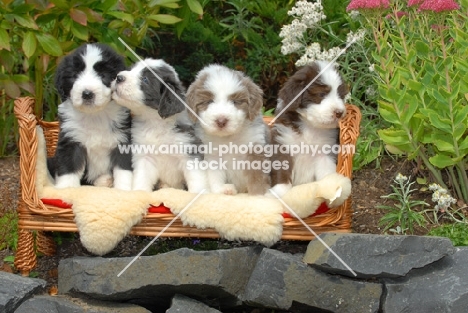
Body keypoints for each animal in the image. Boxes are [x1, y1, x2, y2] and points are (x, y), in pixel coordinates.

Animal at [48, 42, 133, 189]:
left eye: (103, 75)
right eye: (75, 75)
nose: (87, 94)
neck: (94, 116)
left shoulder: (123, 140)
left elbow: (124, 169)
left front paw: (124, 189)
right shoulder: (71, 139)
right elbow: (69, 166)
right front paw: (66, 188)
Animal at [111, 57, 207, 191]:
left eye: (145, 79)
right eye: (131, 69)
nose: (118, 77)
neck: (156, 123)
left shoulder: (190, 153)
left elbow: (197, 180)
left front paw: (199, 193)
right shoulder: (145, 157)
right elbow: (142, 178)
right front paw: (139, 192)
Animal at [185, 64, 268, 195]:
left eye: (235, 102)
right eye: (209, 101)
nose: (221, 121)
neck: (228, 138)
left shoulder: (254, 148)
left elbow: (257, 176)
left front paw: (260, 195)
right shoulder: (212, 155)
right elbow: (215, 175)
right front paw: (221, 190)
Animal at [268, 61, 350, 196]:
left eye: (341, 96)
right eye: (321, 94)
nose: (339, 112)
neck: (310, 126)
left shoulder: (325, 153)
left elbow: (327, 173)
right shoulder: (283, 145)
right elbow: (282, 172)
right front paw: (278, 193)